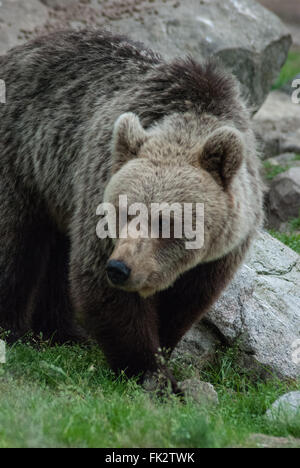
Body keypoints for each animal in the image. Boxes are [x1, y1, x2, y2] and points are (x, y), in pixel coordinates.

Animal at [0, 29, 262, 394]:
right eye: (122, 212)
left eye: (167, 222)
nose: (120, 268)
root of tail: (17, 51)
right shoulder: (97, 184)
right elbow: (103, 289)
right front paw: (151, 374)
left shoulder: (221, 252)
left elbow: (184, 301)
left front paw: (162, 356)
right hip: (23, 156)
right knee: (16, 243)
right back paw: (12, 331)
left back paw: (63, 333)